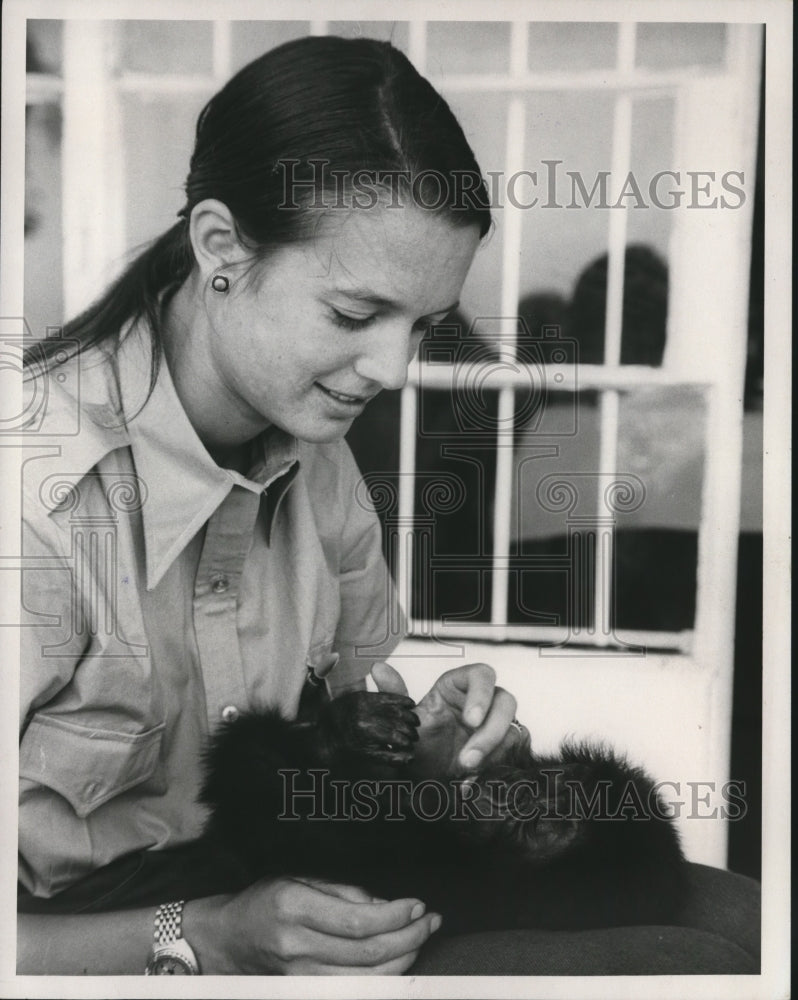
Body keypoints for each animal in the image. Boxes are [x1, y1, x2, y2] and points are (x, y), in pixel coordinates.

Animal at [200, 692, 688, 932]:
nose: (508, 785)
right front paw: (357, 727)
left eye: (536, 822)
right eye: (546, 781)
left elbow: (268, 808)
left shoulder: (421, 867)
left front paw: (337, 735)